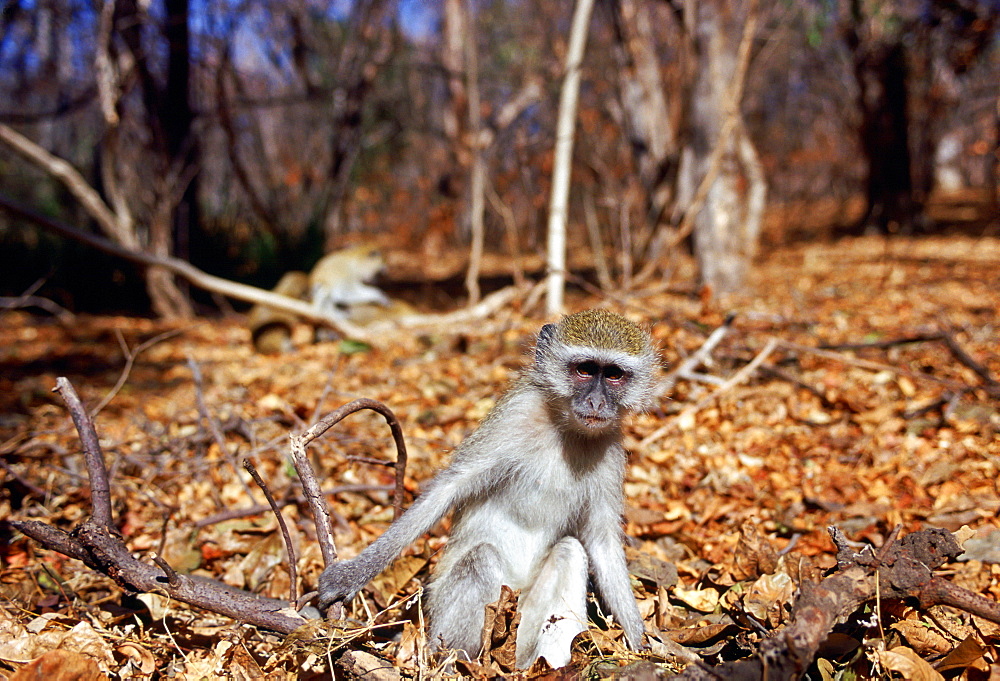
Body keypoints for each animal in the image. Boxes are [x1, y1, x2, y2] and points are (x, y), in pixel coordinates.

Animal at [316, 306, 652, 664]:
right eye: (585, 370)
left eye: (614, 375)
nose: (596, 403)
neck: (568, 429)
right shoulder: (514, 417)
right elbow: (448, 489)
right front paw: (351, 575)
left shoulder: (610, 448)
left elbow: (601, 542)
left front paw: (641, 644)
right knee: (481, 559)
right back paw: (455, 661)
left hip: (523, 625)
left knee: (570, 552)